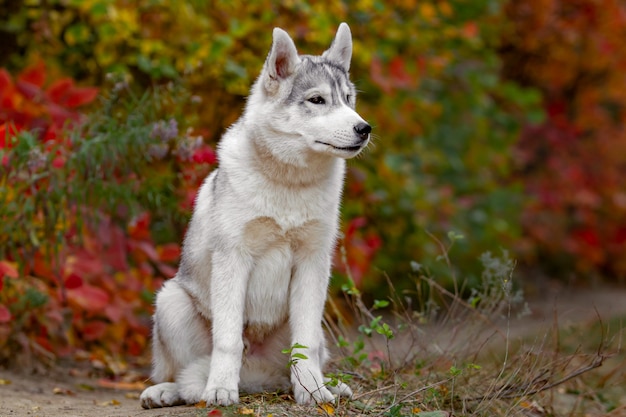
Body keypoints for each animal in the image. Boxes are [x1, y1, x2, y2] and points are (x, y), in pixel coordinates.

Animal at [139, 22, 368, 406]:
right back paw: (168, 392)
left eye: (348, 99)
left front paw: (312, 391)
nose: (364, 129)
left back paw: (327, 385)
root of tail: (255, 375)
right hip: (171, 301)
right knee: (180, 375)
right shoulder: (234, 258)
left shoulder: (313, 262)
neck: (287, 185)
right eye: (317, 100)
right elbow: (227, 341)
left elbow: (303, 346)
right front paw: (219, 390)